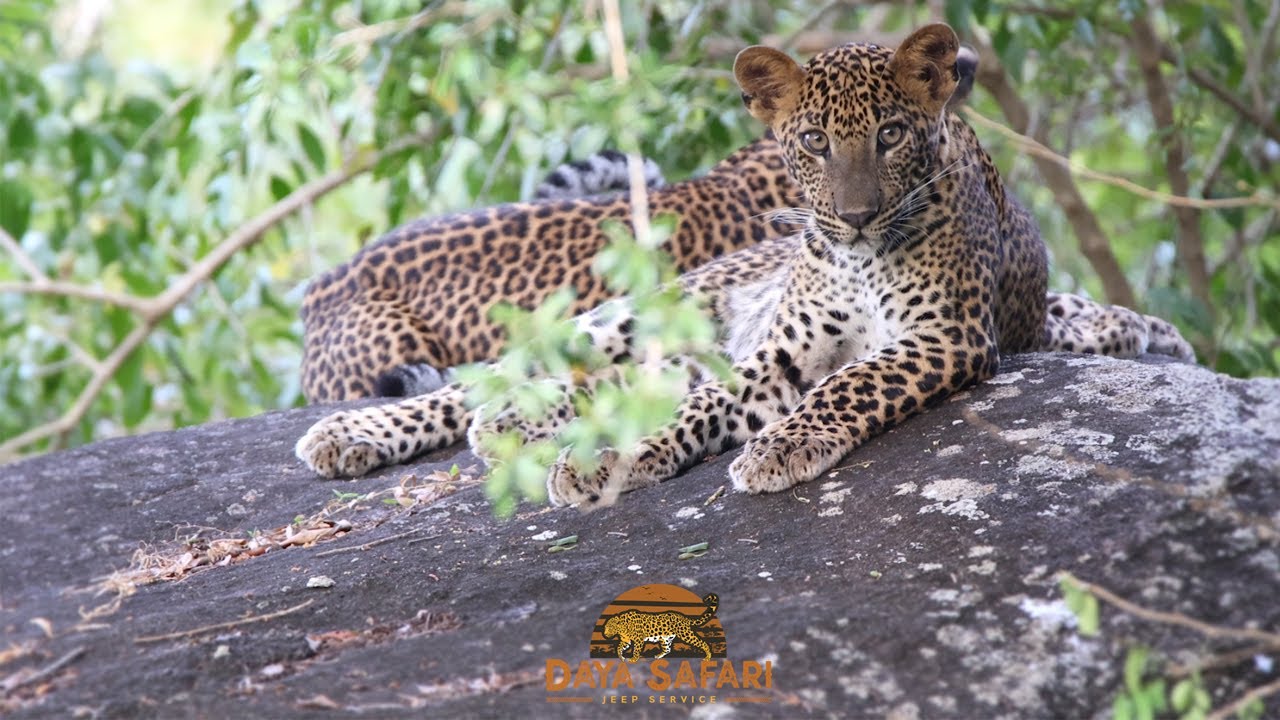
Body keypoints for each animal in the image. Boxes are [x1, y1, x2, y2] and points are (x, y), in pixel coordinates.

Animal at [295, 25, 1196, 504]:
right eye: (814, 142)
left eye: (891, 136)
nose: (854, 216)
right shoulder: (775, 352)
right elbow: (705, 407)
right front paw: (612, 463)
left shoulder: (943, 338)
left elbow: (848, 383)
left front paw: (778, 447)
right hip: (632, 314)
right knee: (482, 383)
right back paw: (354, 432)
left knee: (568, 391)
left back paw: (515, 424)